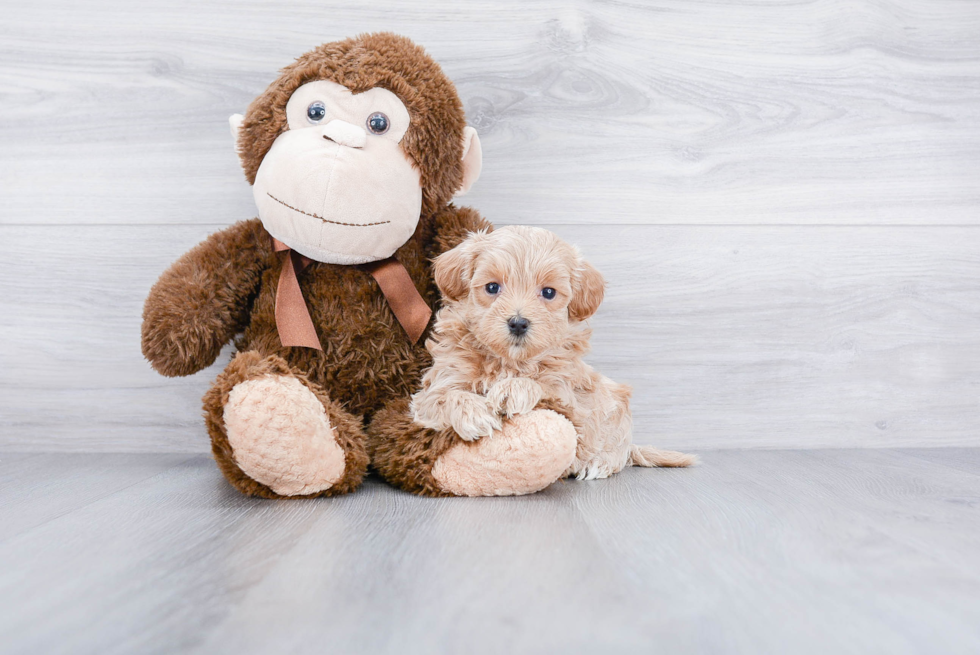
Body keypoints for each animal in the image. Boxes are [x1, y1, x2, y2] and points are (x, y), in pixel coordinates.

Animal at [410, 227, 692, 482]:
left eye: (548, 292)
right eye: (492, 287)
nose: (518, 323)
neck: (509, 362)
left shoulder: (572, 402)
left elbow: (543, 385)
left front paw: (513, 389)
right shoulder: (434, 389)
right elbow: (446, 396)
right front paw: (474, 414)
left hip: (618, 415)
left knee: (619, 452)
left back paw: (599, 463)